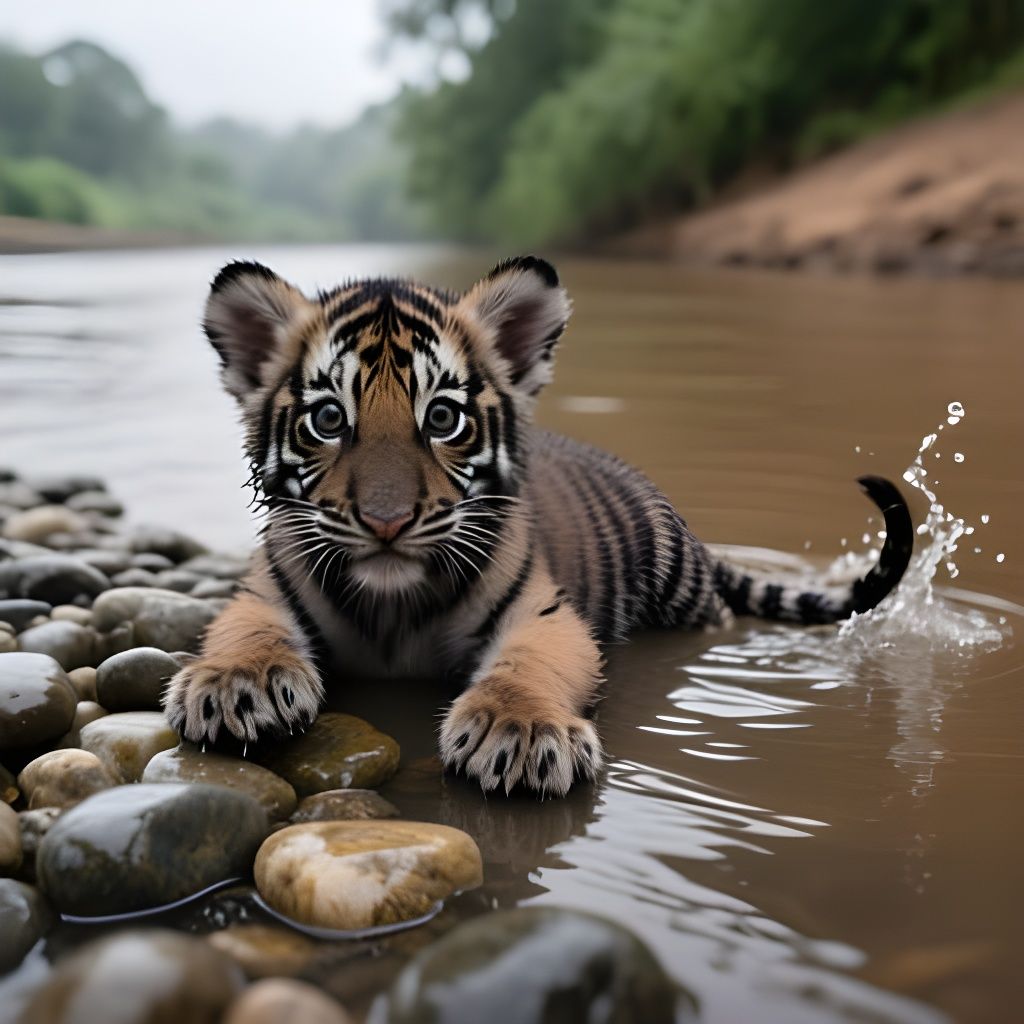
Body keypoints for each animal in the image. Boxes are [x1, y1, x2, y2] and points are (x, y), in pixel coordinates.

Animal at [163, 255, 913, 797]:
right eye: (328, 419)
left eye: (442, 418)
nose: (387, 521)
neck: (391, 607)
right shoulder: (262, 592)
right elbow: (247, 632)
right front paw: (235, 685)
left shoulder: (545, 613)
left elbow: (529, 665)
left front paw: (517, 732)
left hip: (683, 594)